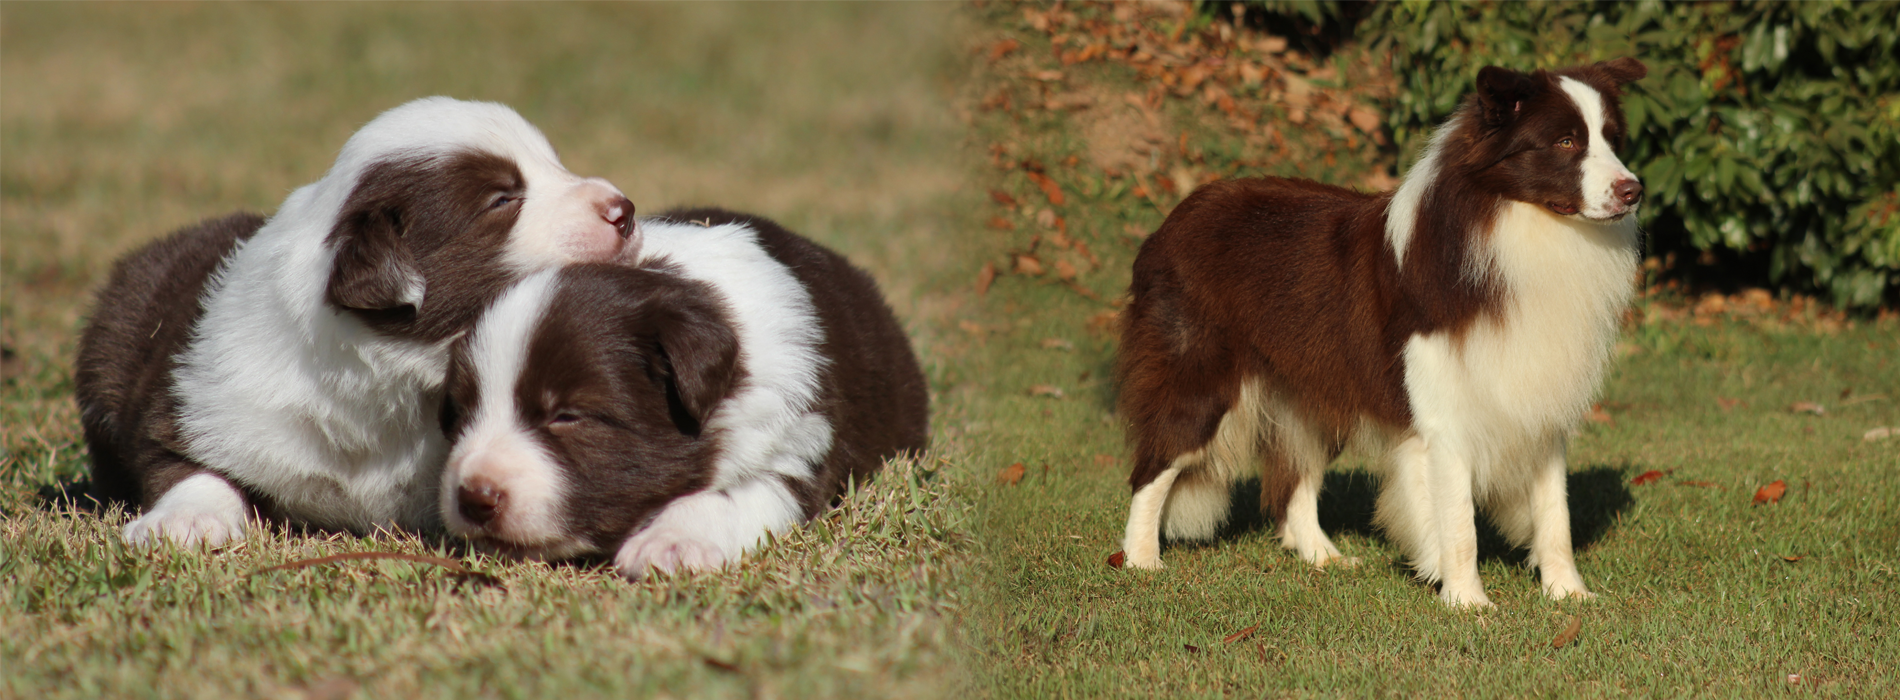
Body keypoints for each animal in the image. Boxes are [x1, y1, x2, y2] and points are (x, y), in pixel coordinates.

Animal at [76, 97, 638, 547]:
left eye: (555, 164)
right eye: (502, 199)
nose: (625, 210)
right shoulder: (195, 399)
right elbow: (186, 466)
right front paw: (182, 524)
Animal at [437, 209, 927, 578]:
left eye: (567, 415)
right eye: (460, 412)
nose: (474, 497)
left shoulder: (799, 446)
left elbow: (731, 494)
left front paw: (669, 543)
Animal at [1117, 58, 1641, 608]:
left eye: (1612, 139)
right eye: (1565, 142)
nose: (1634, 190)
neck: (1514, 227)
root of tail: (1173, 219)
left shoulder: (1540, 403)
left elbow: (1554, 511)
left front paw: (1568, 594)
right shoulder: (1443, 415)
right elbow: (1458, 521)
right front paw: (1468, 602)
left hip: (1314, 388)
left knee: (1296, 475)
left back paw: (1323, 556)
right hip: (1201, 378)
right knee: (1155, 463)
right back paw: (1141, 561)